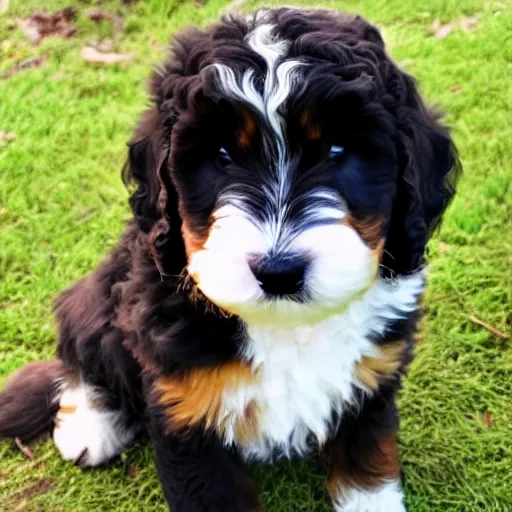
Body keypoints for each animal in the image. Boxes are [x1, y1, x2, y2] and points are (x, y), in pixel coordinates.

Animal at [0, 8, 460, 512]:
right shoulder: (188, 414)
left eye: (338, 152)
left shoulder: (372, 383)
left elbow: (366, 467)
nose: (279, 273)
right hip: (103, 295)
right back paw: (90, 425)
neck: (286, 326)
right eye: (221, 156)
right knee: (82, 351)